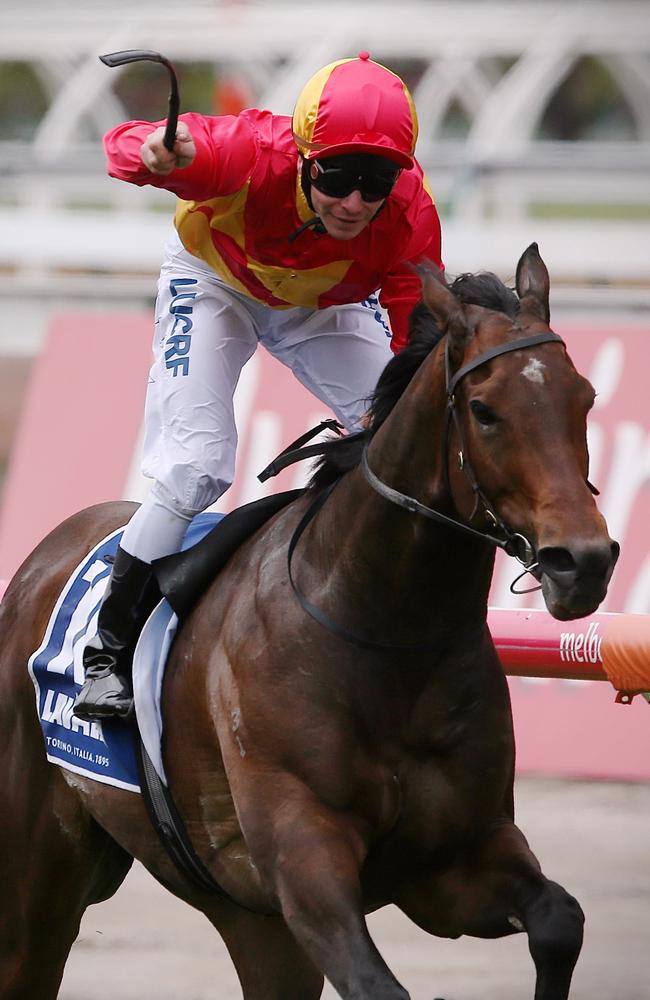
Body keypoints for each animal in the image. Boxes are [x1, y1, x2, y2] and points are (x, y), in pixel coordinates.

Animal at [0, 244, 616, 1000]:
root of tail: (44, 558)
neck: (383, 630)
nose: (582, 562)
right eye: (484, 409)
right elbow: (379, 984)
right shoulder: (303, 860)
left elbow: (560, 920)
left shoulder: (454, 861)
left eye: (584, 398)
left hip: (249, 919)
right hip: (40, 878)